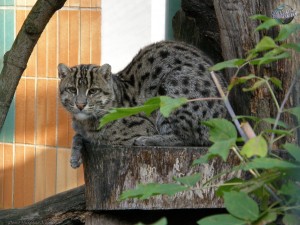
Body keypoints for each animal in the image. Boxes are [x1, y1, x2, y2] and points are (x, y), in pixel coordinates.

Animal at [58, 40, 227, 168]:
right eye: (72, 90)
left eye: (93, 91)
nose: (80, 104)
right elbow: (78, 136)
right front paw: (75, 155)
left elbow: (101, 137)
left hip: (174, 84)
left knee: (188, 137)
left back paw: (148, 140)